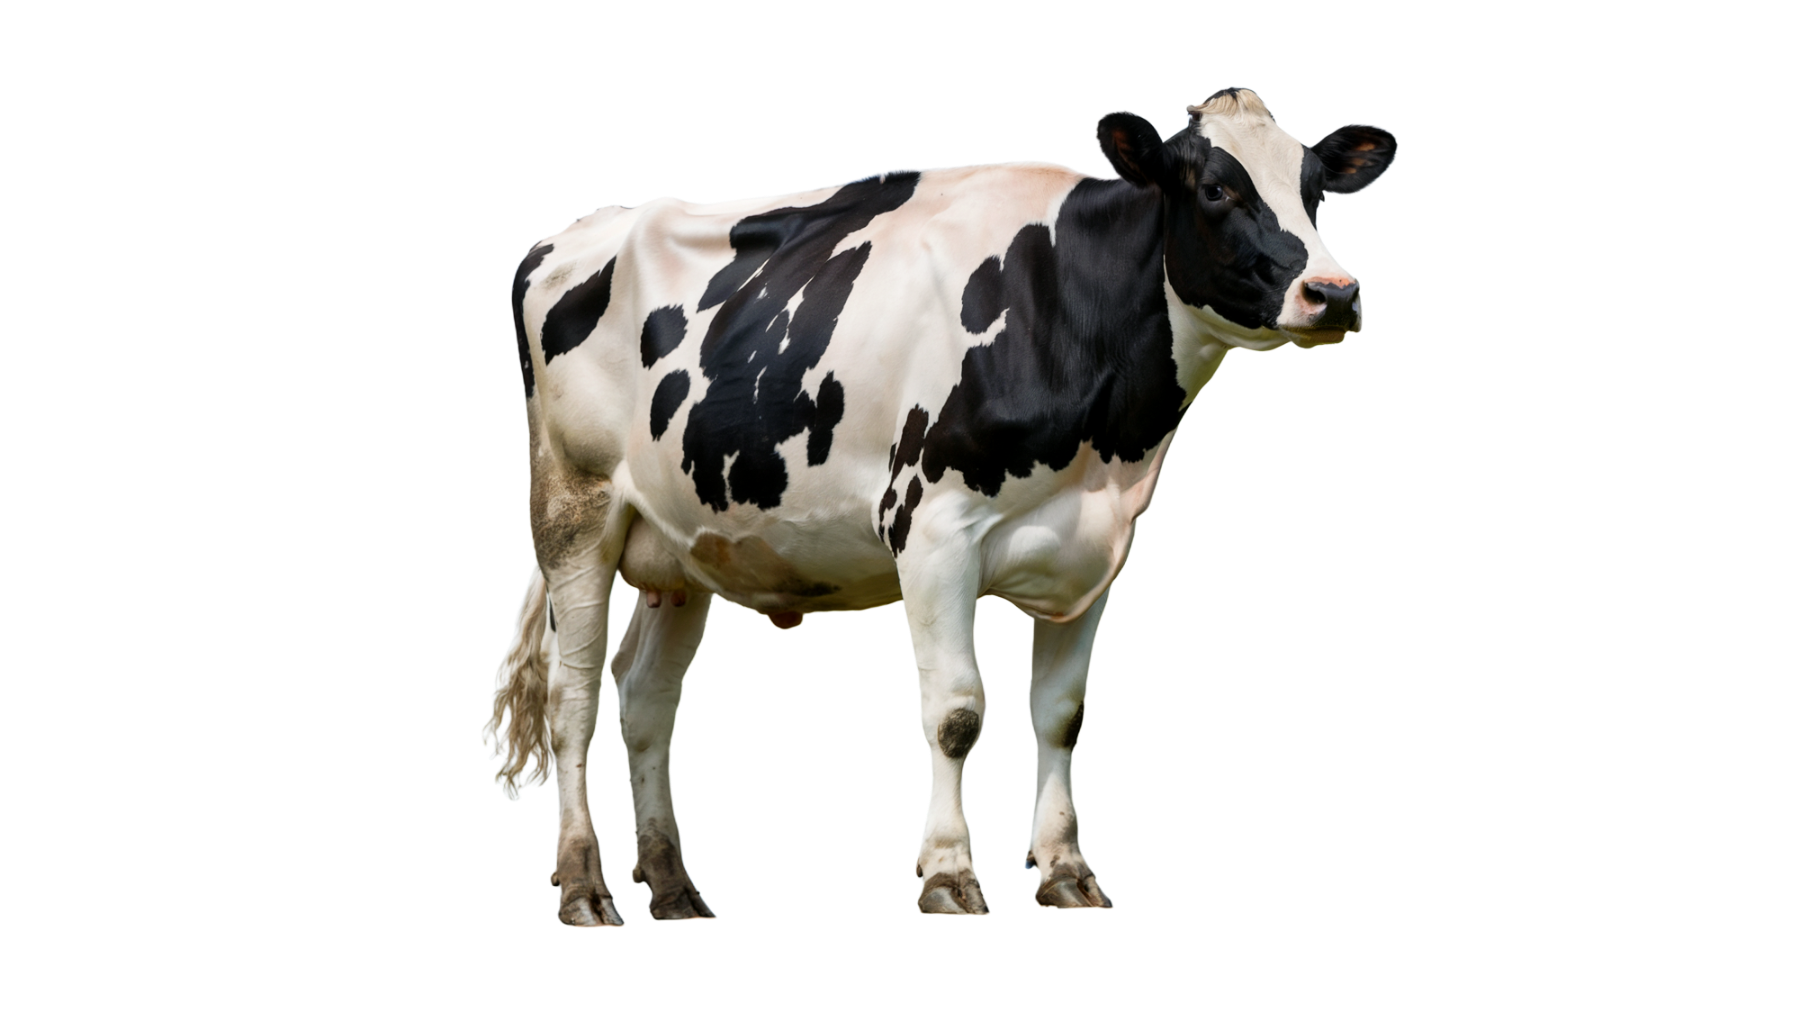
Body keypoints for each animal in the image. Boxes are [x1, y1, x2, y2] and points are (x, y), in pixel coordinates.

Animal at [481, 86, 1399, 926]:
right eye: (1215, 189)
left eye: (1316, 190)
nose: (1334, 291)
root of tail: (571, 234)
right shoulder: (932, 532)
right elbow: (957, 711)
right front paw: (950, 874)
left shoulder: (1095, 553)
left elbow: (1060, 715)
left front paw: (1067, 870)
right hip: (575, 514)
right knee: (572, 699)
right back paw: (586, 886)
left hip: (684, 546)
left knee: (644, 696)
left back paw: (673, 887)